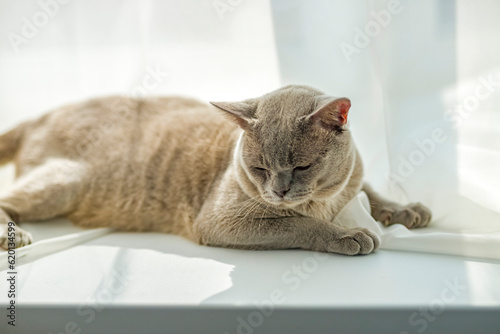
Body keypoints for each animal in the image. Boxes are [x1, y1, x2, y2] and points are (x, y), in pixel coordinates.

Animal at [0, 85, 432, 254]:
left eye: (302, 166)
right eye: (260, 168)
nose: (278, 191)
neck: (326, 199)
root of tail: (41, 115)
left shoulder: (352, 179)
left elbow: (370, 192)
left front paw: (407, 210)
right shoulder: (223, 220)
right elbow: (302, 224)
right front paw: (350, 235)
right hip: (66, 180)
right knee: (7, 200)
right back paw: (14, 236)